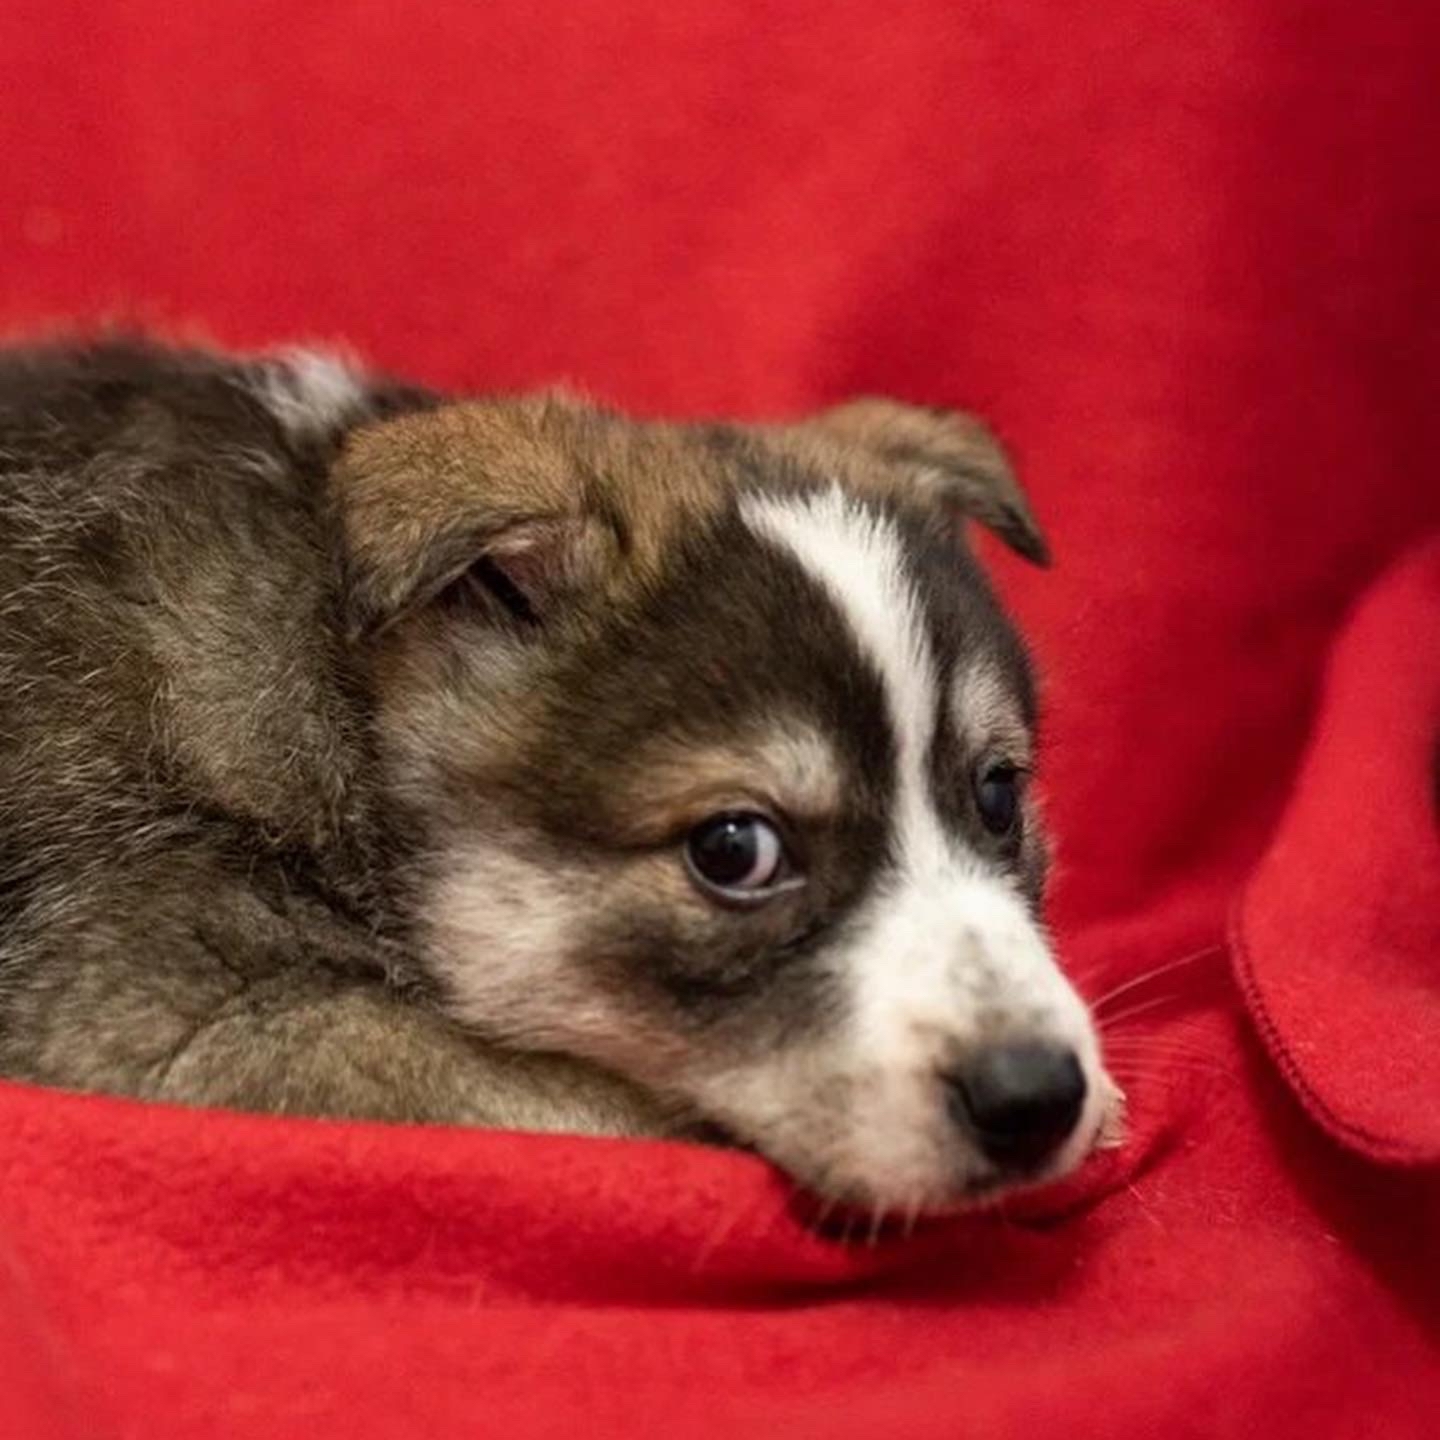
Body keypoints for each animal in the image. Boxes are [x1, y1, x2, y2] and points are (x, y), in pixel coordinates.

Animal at [0, 336, 1117, 1215]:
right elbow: (590, 1100)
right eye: (734, 850)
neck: (337, 705)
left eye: (998, 795)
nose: (1035, 1096)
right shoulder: (174, 1023)